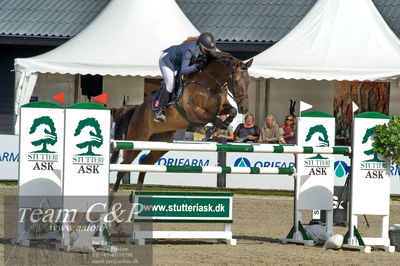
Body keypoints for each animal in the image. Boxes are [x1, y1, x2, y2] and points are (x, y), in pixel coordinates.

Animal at [111, 50, 252, 191]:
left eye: (249, 82)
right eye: (236, 82)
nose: (244, 108)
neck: (210, 86)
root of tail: (136, 108)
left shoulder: (221, 108)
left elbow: (231, 111)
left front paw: (219, 127)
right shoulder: (194, 112)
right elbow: (212, 118)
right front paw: (207, 130)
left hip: (160, 144)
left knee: (145, 163)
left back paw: (138, 194)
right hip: (137, 140)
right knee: (124, 166)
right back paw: (114, 194)